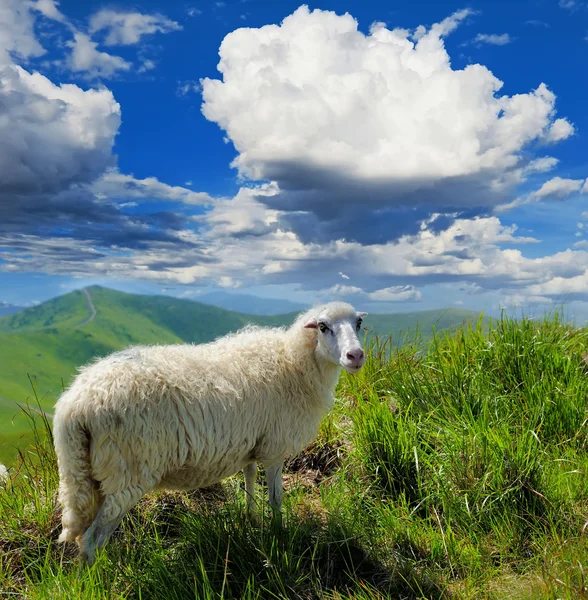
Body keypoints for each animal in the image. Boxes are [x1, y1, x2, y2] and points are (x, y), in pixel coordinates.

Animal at [54, 302, 368, 564]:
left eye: (358, 323)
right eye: (323, 326)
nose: (356, 356)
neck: (293, 361)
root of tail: (75, 405)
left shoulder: (252, 443)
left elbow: (249, 479)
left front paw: (251, 519)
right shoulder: (274, 448)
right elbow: (276, 498)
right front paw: (279, 534)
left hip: (88, 473)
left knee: (85, 533)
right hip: (127, 472)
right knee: (93, 540)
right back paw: (96, 579)